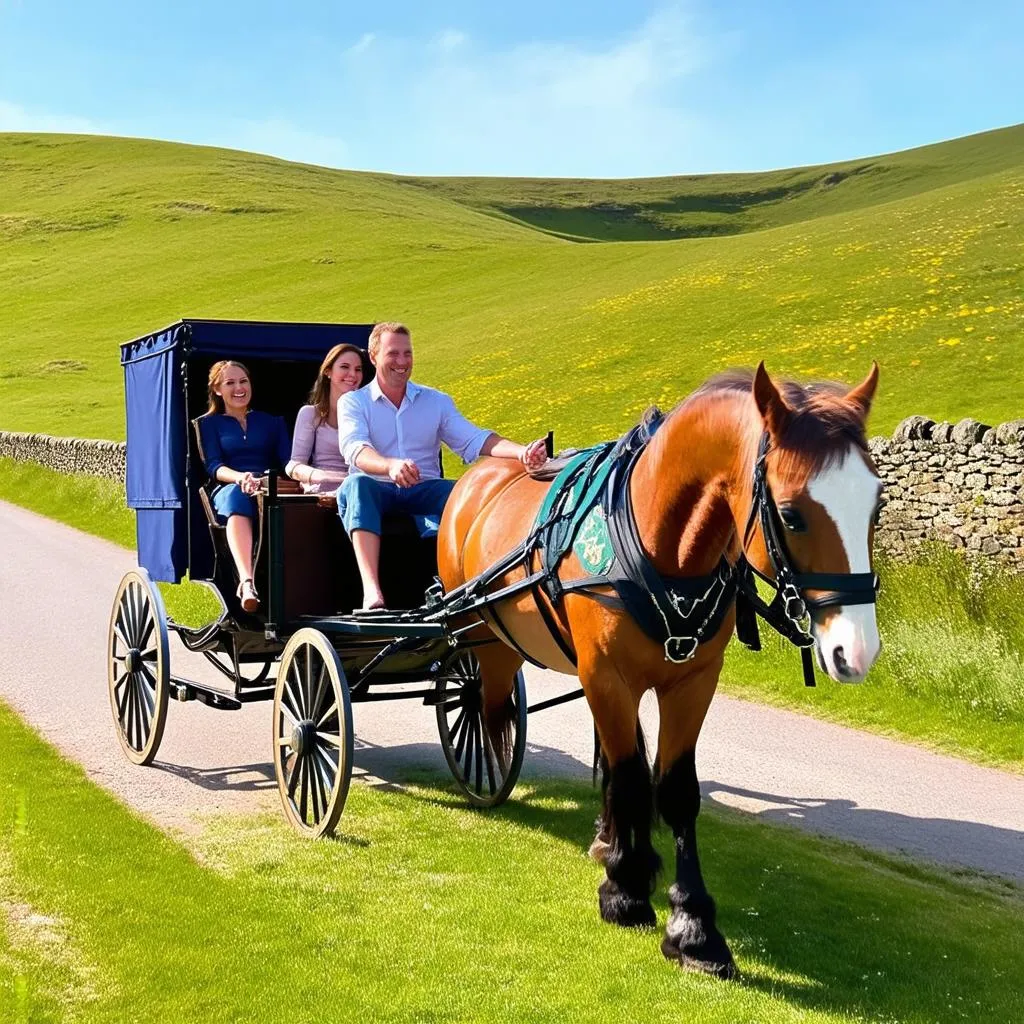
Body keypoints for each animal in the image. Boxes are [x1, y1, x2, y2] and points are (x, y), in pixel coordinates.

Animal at [436, 362, 884, 974]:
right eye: (792, 515)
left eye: (876, 506)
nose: (856, 652)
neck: (661, 548)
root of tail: (474, 478)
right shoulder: (606, 674)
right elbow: (630, 778)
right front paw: (624, 891)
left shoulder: (692, 680)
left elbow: (674, 790)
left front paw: (692, 926)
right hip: (478, 636)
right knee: (480, 701)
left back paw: (608, 839)